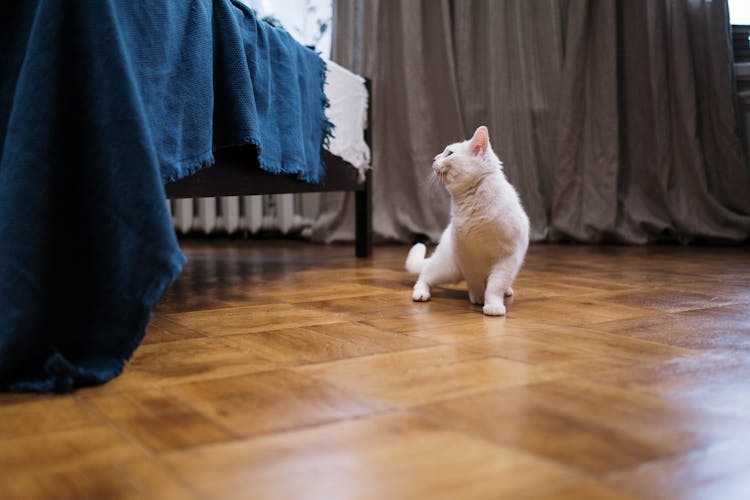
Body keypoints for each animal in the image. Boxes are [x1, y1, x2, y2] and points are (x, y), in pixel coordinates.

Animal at [408, 127, 532, 314]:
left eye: (449, 153)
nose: (434, 158)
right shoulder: (467, 256)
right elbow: (475, 282)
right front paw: (478, 298)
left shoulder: (507, 258)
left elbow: (495, 285)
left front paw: (493, 305)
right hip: (447, 268)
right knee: (425, 276)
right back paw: (421, 293)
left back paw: (507, 291)